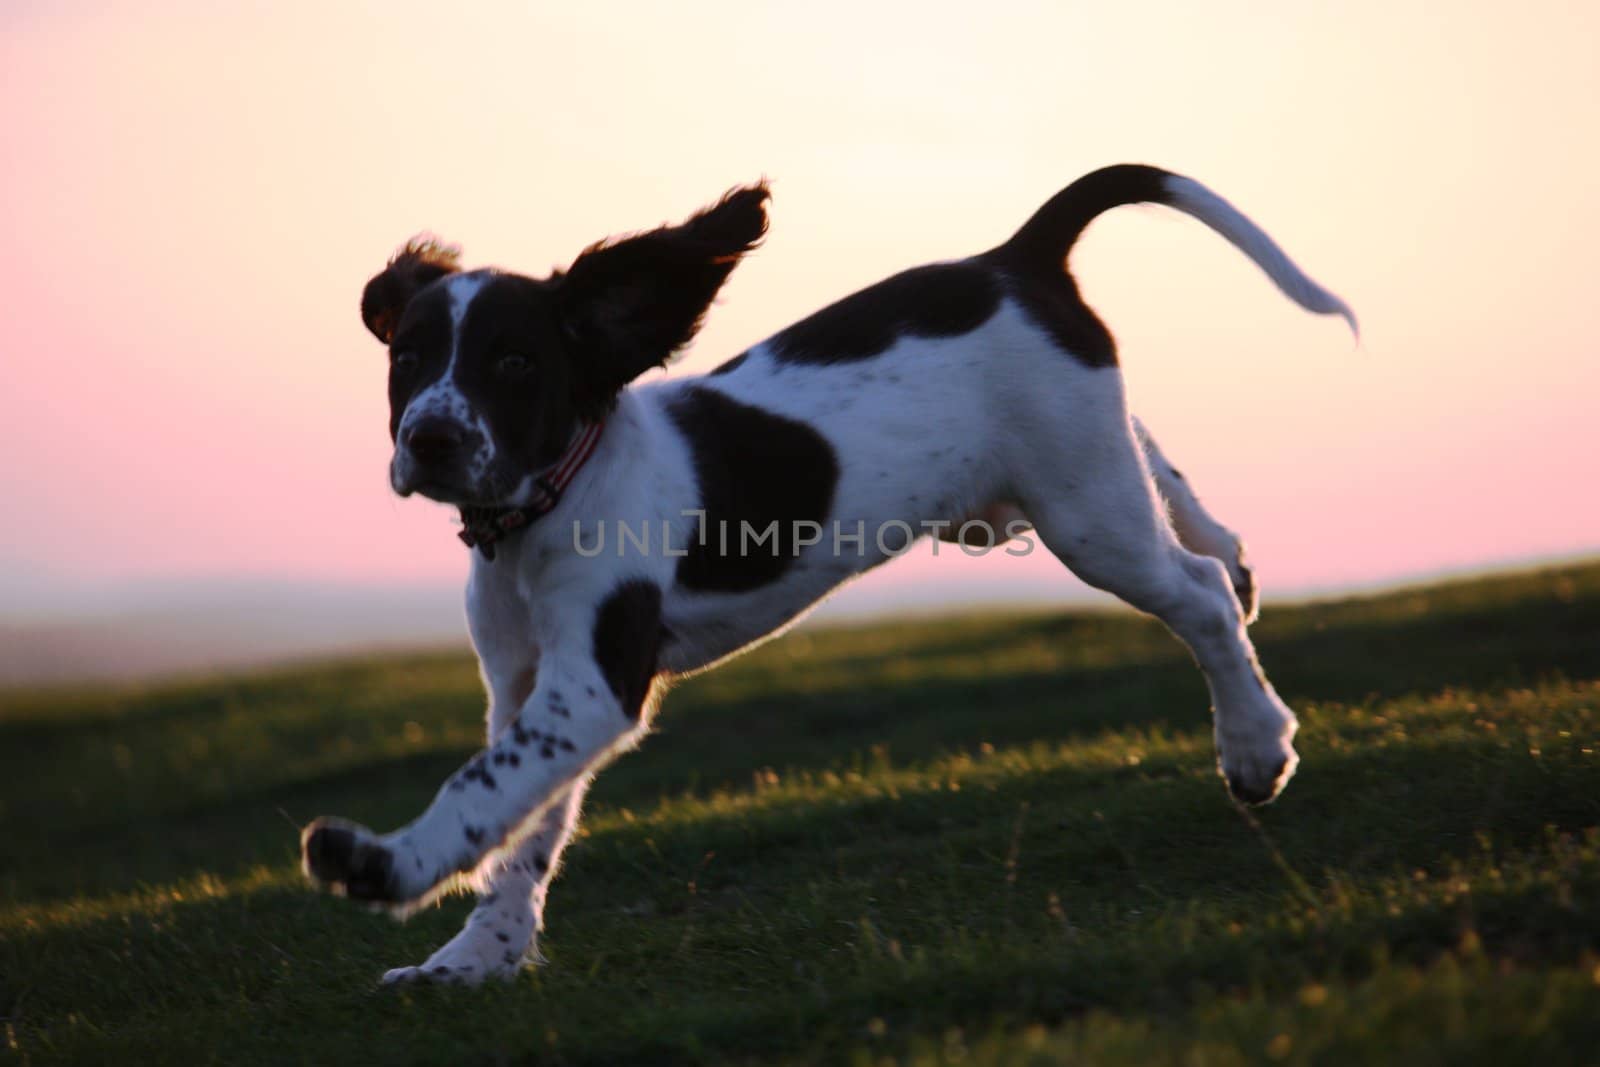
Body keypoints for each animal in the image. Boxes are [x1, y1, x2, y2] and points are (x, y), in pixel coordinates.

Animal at [300, 164, 1350, 985]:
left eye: (516, 362)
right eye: (407, 357)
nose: (428, 441)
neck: (540, 506)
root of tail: (1016, 258)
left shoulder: (592, 680)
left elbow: (482, 790)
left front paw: (381, 865)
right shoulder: (525, 682)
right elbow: (520, 830)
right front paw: (476, 956)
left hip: (1083, 513)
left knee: (1196, 596)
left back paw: (1255, 744)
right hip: (1055, 476)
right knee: (1165, 483)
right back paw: (1232, 557)